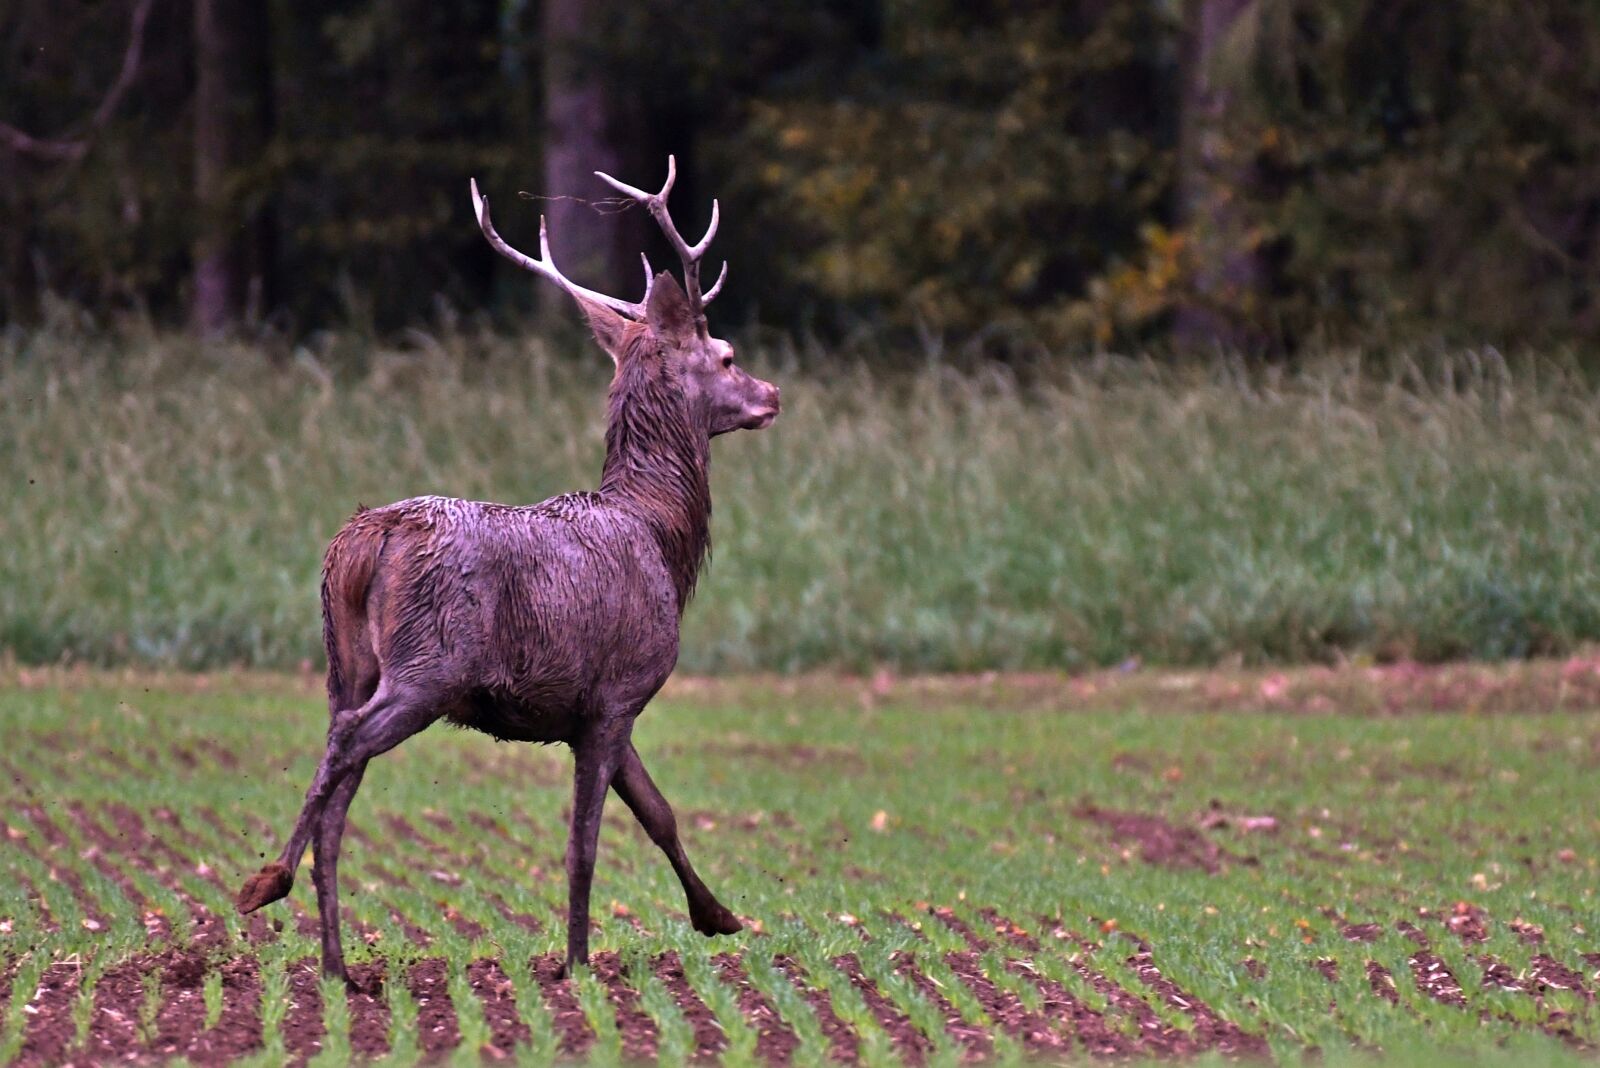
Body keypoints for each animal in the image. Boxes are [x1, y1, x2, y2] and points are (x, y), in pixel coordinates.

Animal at [234, 157, 780, 985]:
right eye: (726, 357)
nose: (771, 395)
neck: (663, 535)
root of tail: (367, 538)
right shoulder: (621, 688)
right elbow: (587, 842)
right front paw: (578, 963)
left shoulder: (591, 706)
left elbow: (658, 811)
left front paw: (718, 916)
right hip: (428, 665)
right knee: (346, 747)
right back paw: (268, 882)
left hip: (346, 664)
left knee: (337, 772)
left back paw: (334, 963)